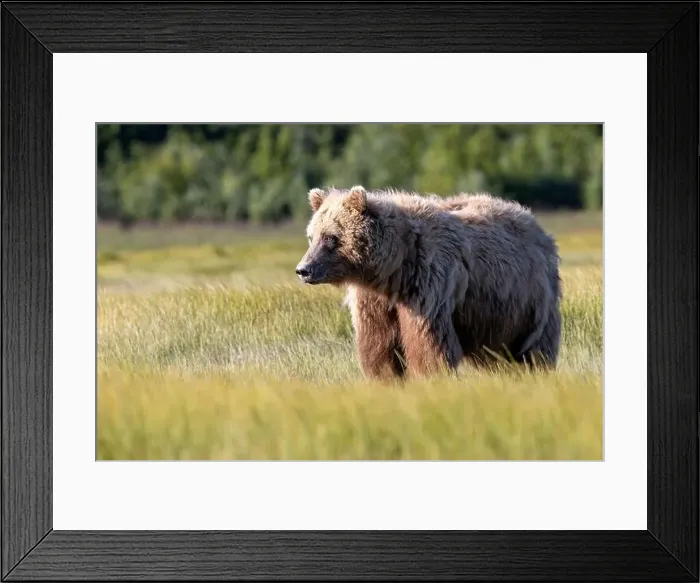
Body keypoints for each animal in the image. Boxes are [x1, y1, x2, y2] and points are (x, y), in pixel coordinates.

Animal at [295, 185, 562, 380]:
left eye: (331, 237)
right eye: (311, 236)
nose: (303, 270)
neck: (393, 271)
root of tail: (533, 222)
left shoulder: (428, 283)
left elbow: (428, 343)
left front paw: (430, 376)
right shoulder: (374, 300)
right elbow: (379, 345)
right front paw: (386, 378)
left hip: (529, 300)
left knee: (535, 346)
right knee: (496, 354)